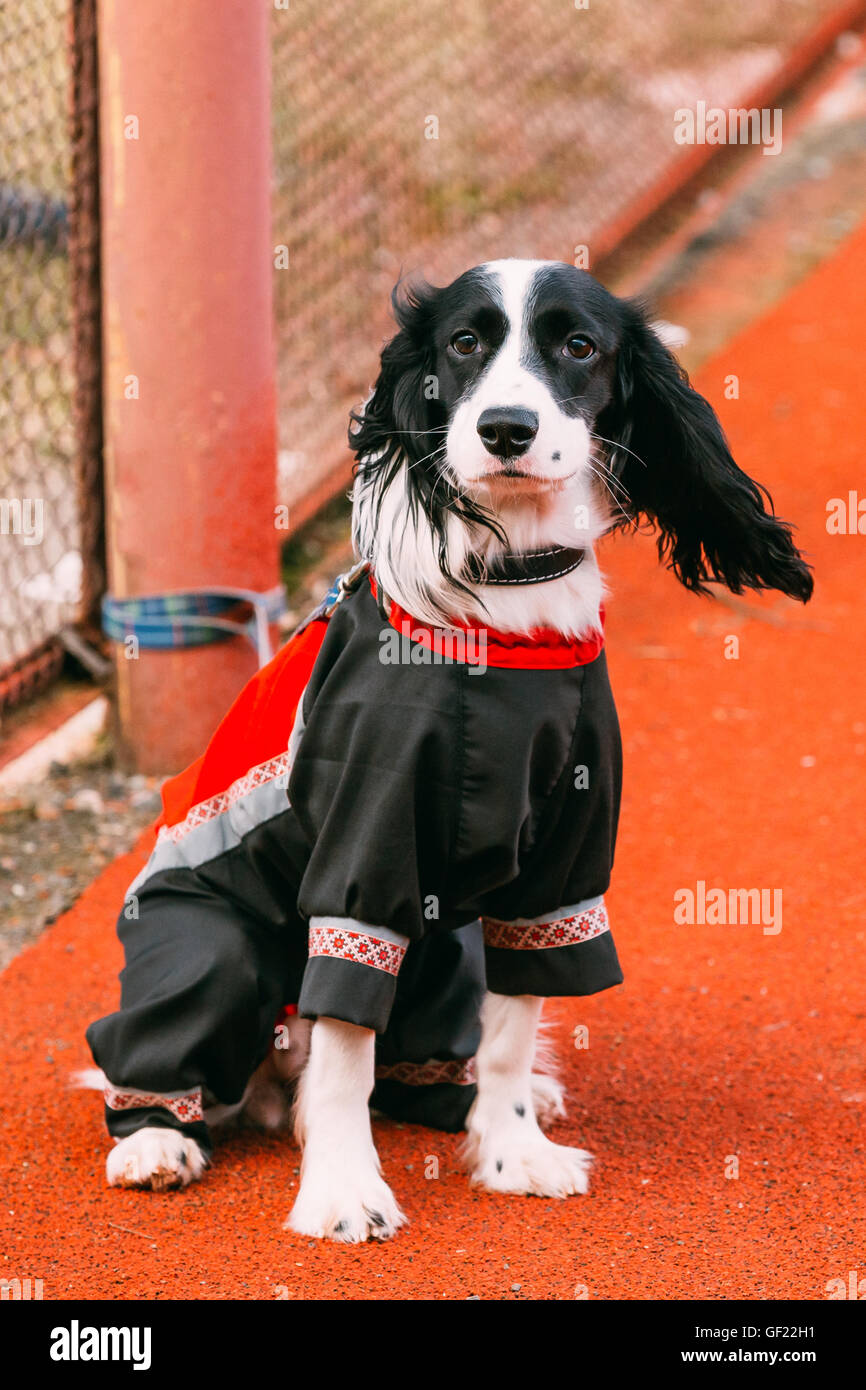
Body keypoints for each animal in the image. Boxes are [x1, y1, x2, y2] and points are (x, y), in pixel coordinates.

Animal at [81, 261, 811, 1239]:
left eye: (578, 344)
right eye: (464, 342)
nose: (506, 428)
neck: (505, 607)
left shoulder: (557, 872)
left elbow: (507, 1032)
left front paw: (510, 1152)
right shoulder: (366, 861)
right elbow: (345, 1051)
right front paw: (344, 1193)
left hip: (448, 950)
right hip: (209, 947)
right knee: (185, 1045)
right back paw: (157, 1137)